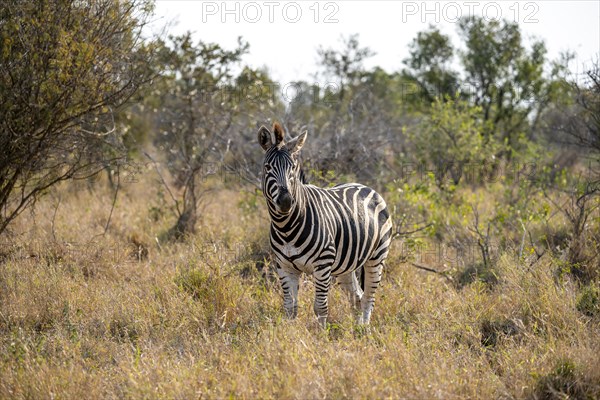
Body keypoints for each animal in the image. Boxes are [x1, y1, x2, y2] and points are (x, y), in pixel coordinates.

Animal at [255, 122, 392, 324]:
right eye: (267, 167)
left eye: (293, 167)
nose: (286, 201)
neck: (286, 227)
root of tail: (365, 186)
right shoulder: (284, 267)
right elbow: (290, 308)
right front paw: (290, 332)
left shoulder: (322, 265)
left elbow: (320, 307)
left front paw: (321, 332)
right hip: (345, 266)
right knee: (357, 297)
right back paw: (356, 328)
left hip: (377, 256)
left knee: (368, 298)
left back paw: (365, 329)